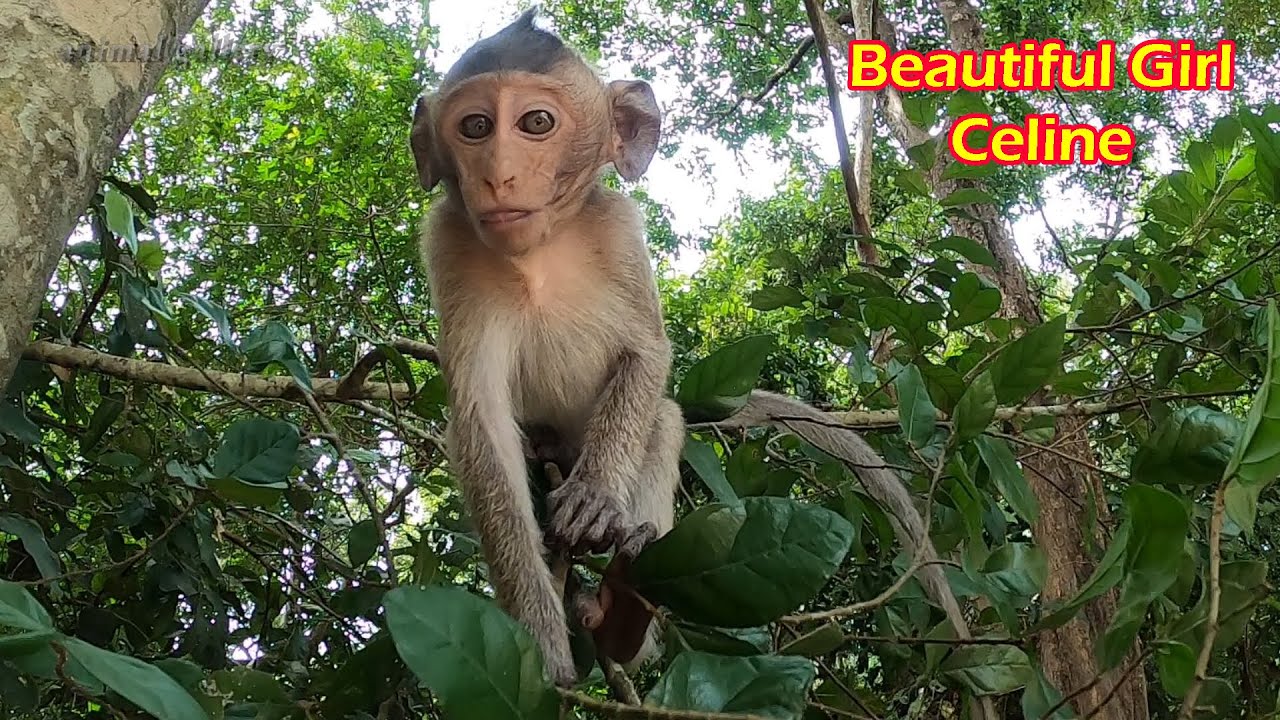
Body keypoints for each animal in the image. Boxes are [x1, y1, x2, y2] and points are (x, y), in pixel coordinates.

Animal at [409, 7, 973, 688]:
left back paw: (622, 614)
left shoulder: (619, 230)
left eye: (535, 123)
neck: (538, 254)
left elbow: (646, 355)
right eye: (475, 127)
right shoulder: (449, 248)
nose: (497, 175)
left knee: (665, 417)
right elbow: (479, 420)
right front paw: (539, 643)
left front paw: (594, 497)